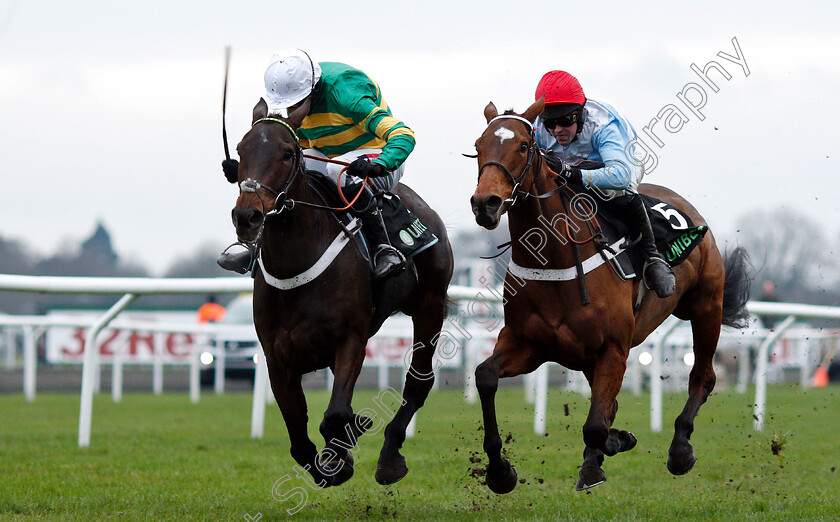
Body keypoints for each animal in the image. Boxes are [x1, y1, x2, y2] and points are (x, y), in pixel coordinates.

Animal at [230, 99, 452, 486]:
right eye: (241, 150)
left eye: (287, 153)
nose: (247, 216)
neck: (296, 267)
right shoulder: (276, 357)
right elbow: (299, 437)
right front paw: (334, 459)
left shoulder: (350, 339)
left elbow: (335, 415)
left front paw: (347, 444)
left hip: (430, 304)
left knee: (419, 381)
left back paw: (390, 457)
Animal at [470, 97, 752, 492]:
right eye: (478, 146)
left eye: (524, 146)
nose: (486, 203)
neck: (555, 261)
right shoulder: (529, 345)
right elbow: (485, 376)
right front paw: (500, 471)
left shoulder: (614, 347)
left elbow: (595, 424)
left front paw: (610, 450)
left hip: (707, 305)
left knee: (703, 376)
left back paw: (680, 449)